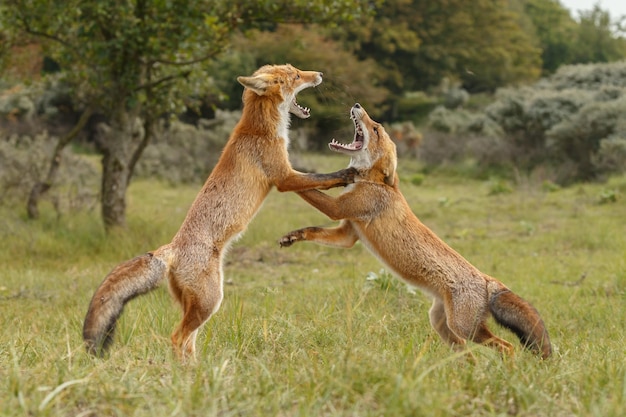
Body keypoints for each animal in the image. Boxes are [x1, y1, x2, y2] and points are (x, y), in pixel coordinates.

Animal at [81, 63, 356, 360]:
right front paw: (346, 175)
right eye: (296, 76)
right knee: (177, 337)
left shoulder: (285, 174)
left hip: (198, 304)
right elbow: (321, 177)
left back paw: (198, 369)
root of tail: (170, 248)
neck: (260, 129)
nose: (319, 75)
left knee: (188, 341)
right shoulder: (283, 176)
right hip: (211, 300)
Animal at [280, 103, 548, 358]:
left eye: (375, 129)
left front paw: (286, 173)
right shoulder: (348, 233)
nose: (357, 105)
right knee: (468, 353)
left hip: (464, 327)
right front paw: (293, 236)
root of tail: (486, 279)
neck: (376, 183)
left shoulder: (338, 209)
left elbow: (305, 187)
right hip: (443, 325)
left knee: (507, 347)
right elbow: (313, 228)